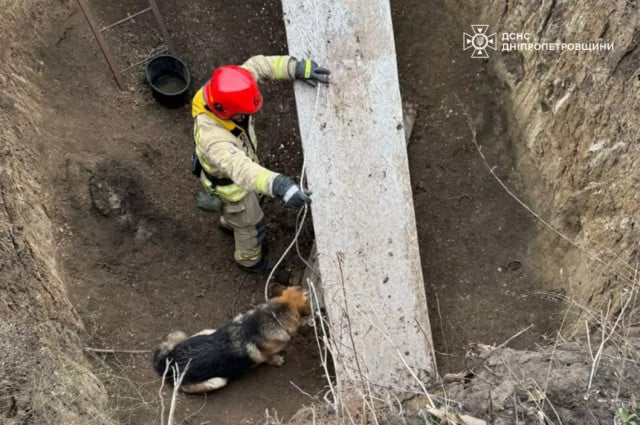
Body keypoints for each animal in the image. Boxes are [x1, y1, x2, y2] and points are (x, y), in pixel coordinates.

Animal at [151, 284, 308, 392]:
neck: (273, 317)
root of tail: (168, 361)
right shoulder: (266, 355)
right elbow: (270, 358)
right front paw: (277, 360)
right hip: (217, 381)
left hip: (207, 331)